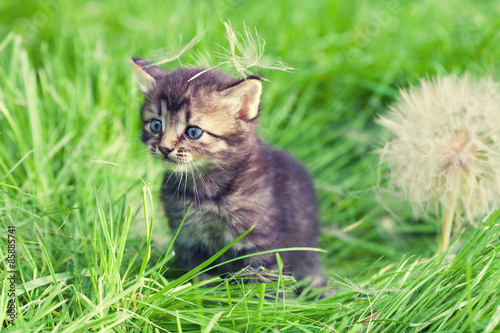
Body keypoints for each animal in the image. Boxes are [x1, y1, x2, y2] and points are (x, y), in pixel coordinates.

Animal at [133, 58, 328, 292]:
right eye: (156, 125)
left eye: (193, 132)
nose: (163, 148)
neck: (205, 192)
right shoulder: (188, 240)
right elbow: (199, 280)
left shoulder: (262, 245)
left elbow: (263, 287)